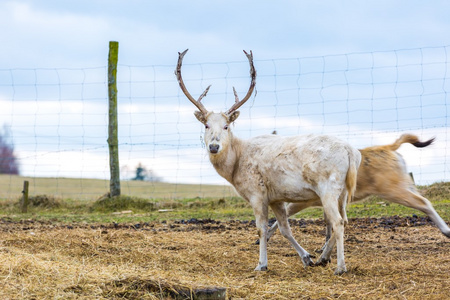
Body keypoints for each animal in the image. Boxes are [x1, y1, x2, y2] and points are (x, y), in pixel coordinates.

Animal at [176, 49, 362, 274]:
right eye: (206, 125)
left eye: (226, 126)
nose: (213, 147)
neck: (236, 166)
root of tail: (351, 152)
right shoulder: (276, 198)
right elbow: (284, 228)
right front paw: (306, 258)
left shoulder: (257, 194)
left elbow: (261, 229)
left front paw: (261, 264)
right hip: (343, 192)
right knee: (345, 219)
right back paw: (322, 258)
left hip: (328, 187)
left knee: (338, 222)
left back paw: (340, 267)